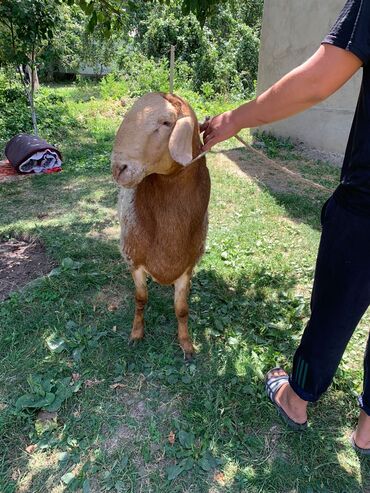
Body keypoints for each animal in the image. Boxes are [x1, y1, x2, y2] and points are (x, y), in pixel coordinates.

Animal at [111, 91, 211, 358]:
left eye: (166, 122)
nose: (118, 168)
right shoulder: (135, 261)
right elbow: (140, 299)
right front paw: (136, 334)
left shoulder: (187, 268)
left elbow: (182, 309)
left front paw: (186, 344)